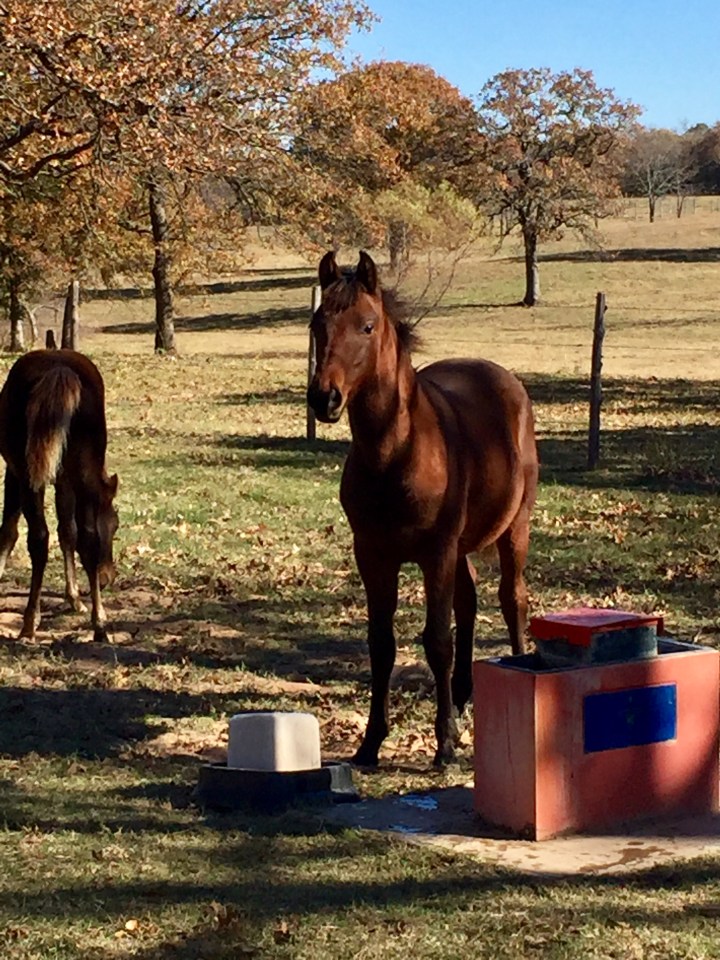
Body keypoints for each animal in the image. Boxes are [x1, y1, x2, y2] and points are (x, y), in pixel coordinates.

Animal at [0, 349, 119, 642]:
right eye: (116, 524)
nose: (106, 578)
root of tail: (59, 370)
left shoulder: (21, 473)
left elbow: (14, 531)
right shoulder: (59, 480)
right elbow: (68, 533)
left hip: (32, 477)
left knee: (40, 538)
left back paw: (31, 623)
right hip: (79, 473)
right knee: (85, 539)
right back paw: (99, 625)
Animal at [307, 251, 538, 767]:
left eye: (367, 325)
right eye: (317, 324)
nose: (324, 398)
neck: (398, 453)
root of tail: (505, 380)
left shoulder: (436, 553)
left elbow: (437, 640)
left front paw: (445, 742)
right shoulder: (374, 555)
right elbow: (382, 644)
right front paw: (371, 742)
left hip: (513, 529)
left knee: (511, 598)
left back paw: (514, 667)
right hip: (461, 549)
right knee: (469, 603)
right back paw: (465, 695)